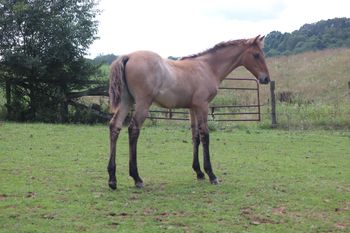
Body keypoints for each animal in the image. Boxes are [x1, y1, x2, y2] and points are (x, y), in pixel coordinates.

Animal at [108, 35, 270, 190]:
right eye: (256, 55)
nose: (266, 78)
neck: (208, 67)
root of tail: (128, 56)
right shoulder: (203, 105)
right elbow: (205, 135)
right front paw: (211, 175)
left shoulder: (192, 108)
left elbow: (195, 136)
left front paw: (199, 172)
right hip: (143, 103)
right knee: (133, 130)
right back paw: (137, 178)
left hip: (126, 101)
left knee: (115, 127)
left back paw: (112, 179)